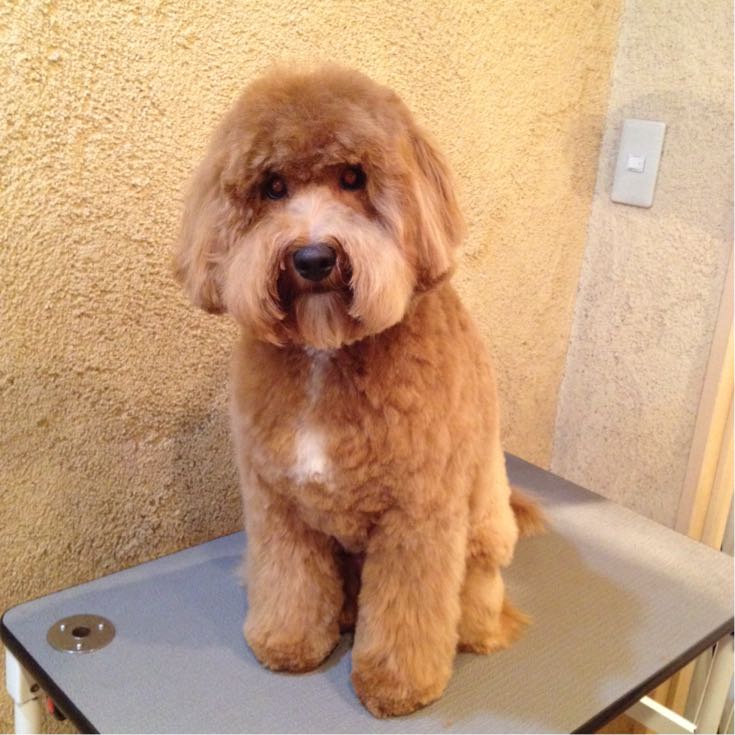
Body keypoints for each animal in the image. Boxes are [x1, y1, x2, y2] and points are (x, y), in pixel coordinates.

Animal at [174, 65, 544, 718]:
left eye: (354, 177)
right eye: (272, 187)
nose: (313, 256)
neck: (328, 350)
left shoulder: (417, 518)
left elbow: (409, 608)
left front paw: (397, 684)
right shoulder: (276, 503)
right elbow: (289, 580)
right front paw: (287, 642)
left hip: (483, 527)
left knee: (479, 590)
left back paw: (475, 630)